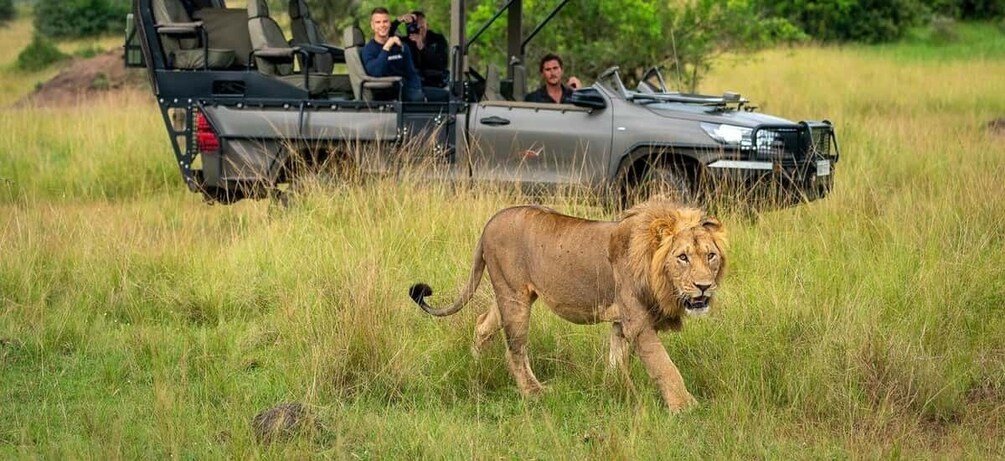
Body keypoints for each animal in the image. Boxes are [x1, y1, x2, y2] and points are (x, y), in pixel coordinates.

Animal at [408, 197, 727, 411]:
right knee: (515, 351)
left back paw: (477, 364)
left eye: (710, 256)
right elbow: (665, 366)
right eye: (682, 257)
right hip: (514, 299)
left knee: (482, 324)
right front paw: (685, 406)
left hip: (509, 295)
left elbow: (617, 359)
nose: (704, 286)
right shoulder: (637, 323)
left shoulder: (620, 321)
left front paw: (615, 390)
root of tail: (491, 221)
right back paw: (534, 393)